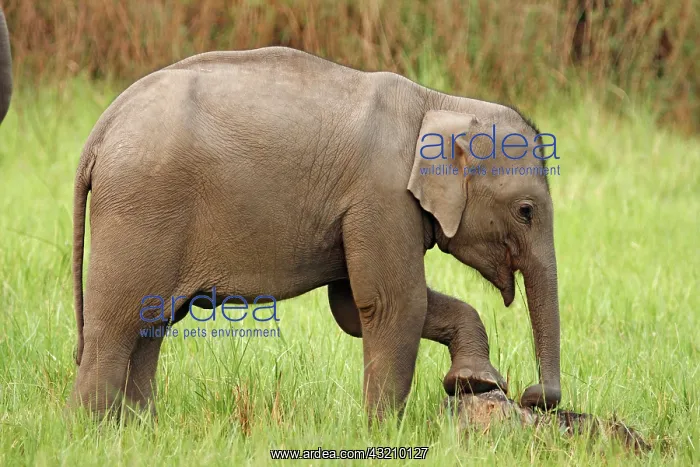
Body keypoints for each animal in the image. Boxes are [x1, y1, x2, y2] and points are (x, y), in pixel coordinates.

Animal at [69, 46, 561, 421]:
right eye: (526, 212)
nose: (533, 396)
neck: (439, 103)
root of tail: (99, 131)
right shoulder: (380, 196)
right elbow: (392, 303)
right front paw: (385, 431)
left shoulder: (364, 208)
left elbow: (352, 306)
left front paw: (474, 381)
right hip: (142, 205)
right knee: (117, 325)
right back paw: (92, 432)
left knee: (151, 325)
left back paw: (138, 429)